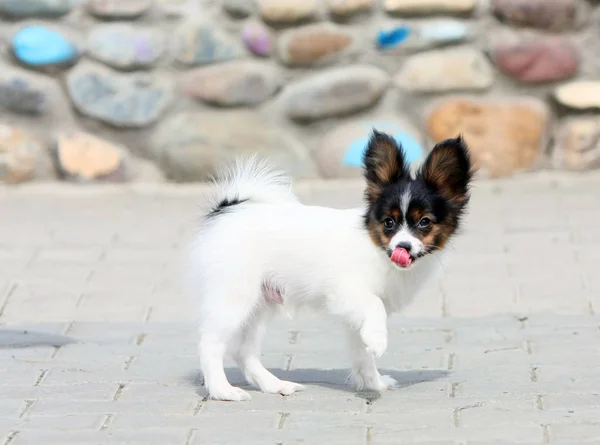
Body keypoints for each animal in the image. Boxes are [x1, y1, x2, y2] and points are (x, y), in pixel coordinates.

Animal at [188, 130, 474, 400]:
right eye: (389, 223)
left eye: (424, 222)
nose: (402, 247)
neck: (376, 248)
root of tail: (226, 209)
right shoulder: (346, 294)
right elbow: (375, 307)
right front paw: (378, 340)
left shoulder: (354, 316)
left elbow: (362, 354)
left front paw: (374, 383)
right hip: (234, 297)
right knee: (210, 344)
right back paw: (223, 391)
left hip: (260, 305)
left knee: (243, 351)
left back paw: (275, 386)